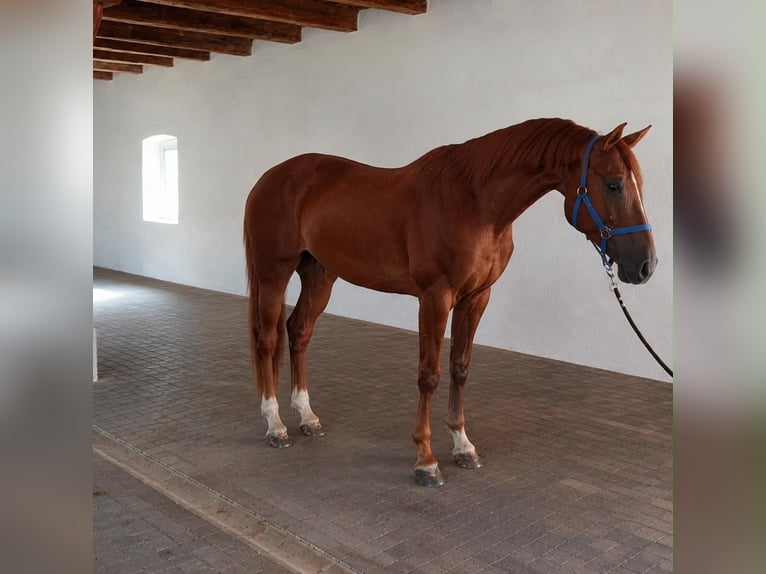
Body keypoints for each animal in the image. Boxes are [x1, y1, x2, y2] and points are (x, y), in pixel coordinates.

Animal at [243, 117, 657, 486]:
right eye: (614, 184)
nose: (646, 266)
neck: (475, 203)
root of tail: (270, 177)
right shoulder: (434, 297)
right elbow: (429, 374)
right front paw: (426, 460)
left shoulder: (476, 297)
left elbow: (460, 367)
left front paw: (462, 446)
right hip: (274, 273)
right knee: (267, 339)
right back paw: (275, 425)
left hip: (319, 275)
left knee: (299, 332)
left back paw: (307, 417)